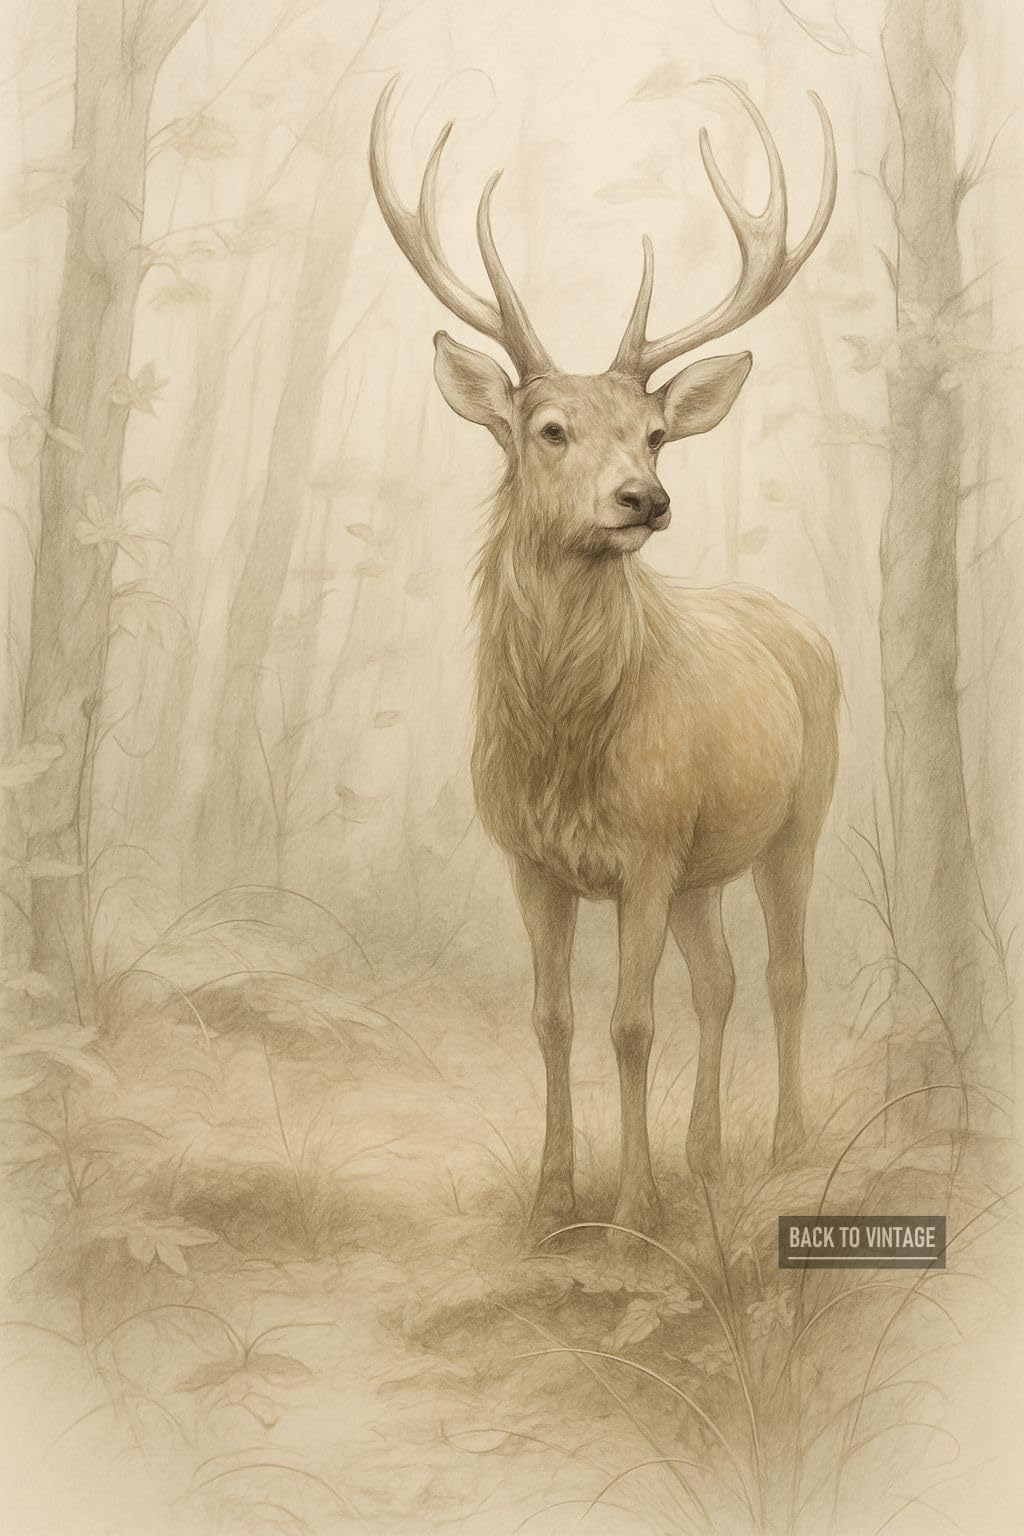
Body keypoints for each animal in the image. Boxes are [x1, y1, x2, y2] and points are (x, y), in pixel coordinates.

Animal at [369, 76, 840, 1239]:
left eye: (655, 433)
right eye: (547, 428)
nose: (644, 499)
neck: (563, 745)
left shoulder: (647, 846)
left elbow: (630, 1023)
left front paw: (632, 1211)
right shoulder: (530, 857)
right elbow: (551, 1018)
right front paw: (553, 1202)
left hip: (799, 813)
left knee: (786, 974)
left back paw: (784, 1144)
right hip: (709, 860)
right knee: (720, 980)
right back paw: (707, 1155)